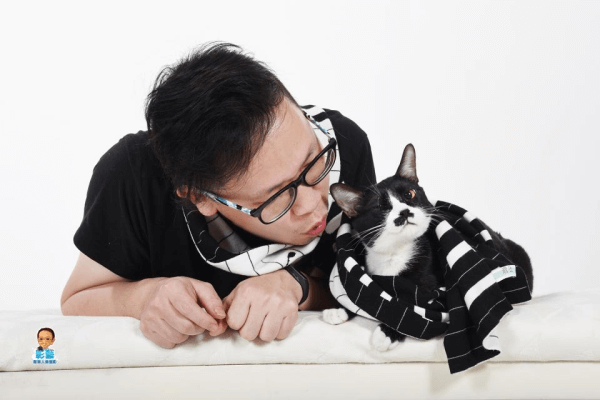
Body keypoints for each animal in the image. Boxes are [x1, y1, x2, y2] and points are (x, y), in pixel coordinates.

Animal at [323, 143, 534, 352]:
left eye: (410, 194)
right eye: (381, 207)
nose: (404, 211)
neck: (396, 254)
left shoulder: (434, 294)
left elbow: (413, 312)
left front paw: (387, 332)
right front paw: (338, 310)